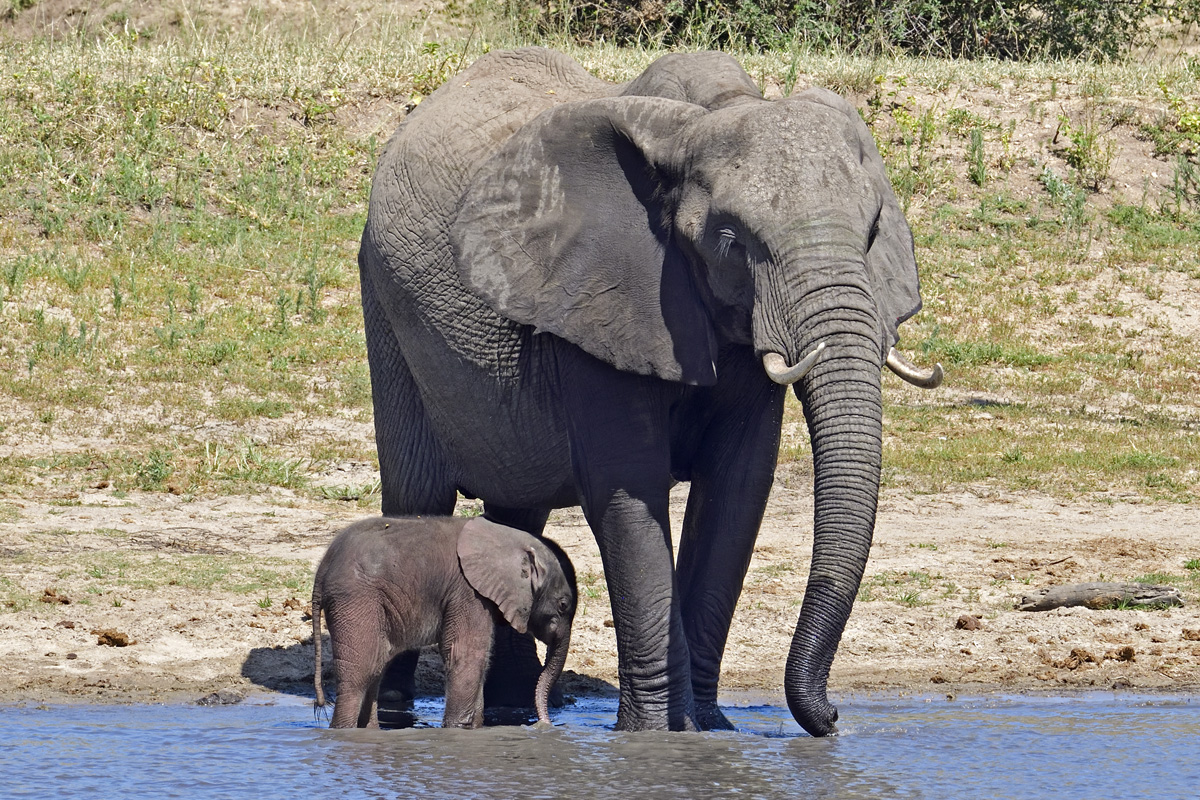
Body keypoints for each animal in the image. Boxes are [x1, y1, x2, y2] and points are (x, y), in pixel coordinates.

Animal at [311, 515, 577, 728]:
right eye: (563, 605)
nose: (543, 725)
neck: (507, 537)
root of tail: (322, 569)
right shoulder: (467, 592)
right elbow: (466, 656)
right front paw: (456, 731)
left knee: (376, 665)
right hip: (355, 599)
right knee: (361, 672)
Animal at [357, 47, 942, 735]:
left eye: (874, 231)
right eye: (732, 240)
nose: (829, 717)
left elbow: (737, 489)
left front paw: (708, 730)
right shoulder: (598, 301)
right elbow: (628, 490)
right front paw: (655, 735)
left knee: (517, 512)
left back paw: (515, 707)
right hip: (385, 303)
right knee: (417, 494)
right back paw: (397, 713)